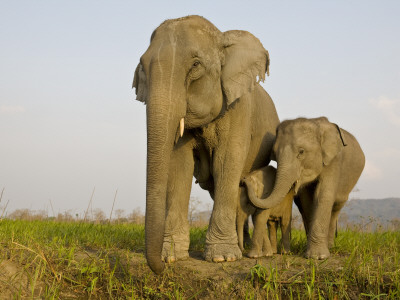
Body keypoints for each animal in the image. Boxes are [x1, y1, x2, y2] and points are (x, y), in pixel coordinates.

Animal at [133, 16, 280, 274]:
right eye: (142, 65)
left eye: (195, 65)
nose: (160, 268)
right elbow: (179, 165)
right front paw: (172, 257)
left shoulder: (239, 108)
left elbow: (226, 161)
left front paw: (223, 258)